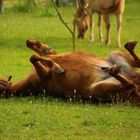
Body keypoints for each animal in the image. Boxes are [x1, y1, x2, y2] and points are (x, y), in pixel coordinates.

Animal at [0, 39, 139, 105]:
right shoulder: (44, 77)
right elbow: (34, 57)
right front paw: (57, 67)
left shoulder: (50, 55)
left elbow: (38, 52)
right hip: (98, 89)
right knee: (129, 84)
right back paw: (113, 70)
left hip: (115, 55)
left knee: (136, 65)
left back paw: (129, 47)